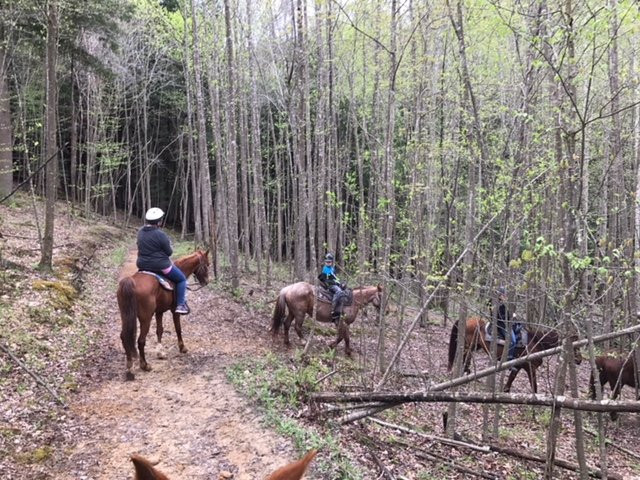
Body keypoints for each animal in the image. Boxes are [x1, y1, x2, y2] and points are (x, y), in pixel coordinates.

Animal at [117, 249, 210, 380]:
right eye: (207, 265)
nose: (206, 282)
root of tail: (131, 282)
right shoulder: (174, 311)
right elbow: (178, 328)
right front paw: (182, 347)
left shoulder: (159, 312)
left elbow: (159, 330)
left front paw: (160, 352)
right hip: (145, 318)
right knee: (141, 340)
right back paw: (145, 365)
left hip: (125, 316)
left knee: (124, 336)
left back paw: (129, 368)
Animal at [448, 316, 584, 392]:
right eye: (574, 341)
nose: (579, 359)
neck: (535, 341)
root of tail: (467, 320)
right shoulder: (530, 368)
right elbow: (534, 387)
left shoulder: (518, 367)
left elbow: (509, 382)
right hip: (468, 346)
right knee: (465, 357)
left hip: (475, 346)